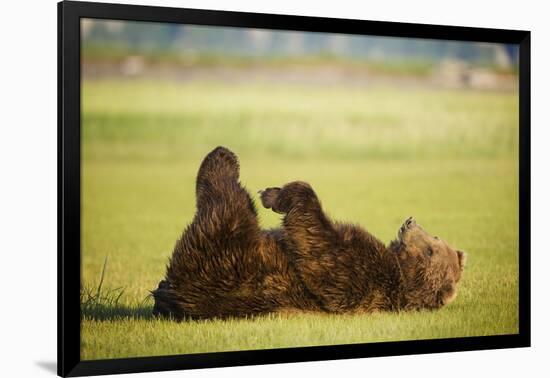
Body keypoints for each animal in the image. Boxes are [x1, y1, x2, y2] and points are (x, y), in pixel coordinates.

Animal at [153, 147, 468, 318]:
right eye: (437, 239)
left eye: (431, 249)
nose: (410, 222)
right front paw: (274, 191)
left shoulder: (362, 275)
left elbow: (320, 247)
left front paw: (277, 195)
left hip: (223, 260)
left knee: (226, 204)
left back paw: (223, 158)